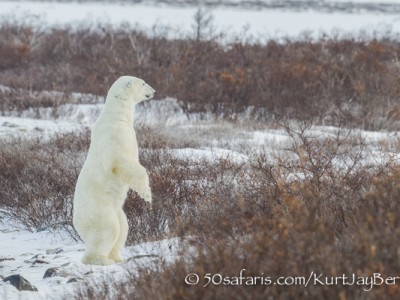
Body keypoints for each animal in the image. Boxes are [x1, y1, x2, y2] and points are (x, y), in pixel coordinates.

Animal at [72, 75, 155, 264]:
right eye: (143, 83)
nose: (154, 91)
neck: (117, 116)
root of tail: (76, 223)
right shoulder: (114, 135)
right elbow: (120, 160)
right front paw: (147, 195)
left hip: (116, 209)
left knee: (123, 227)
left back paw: (118, 258)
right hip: (99, 209)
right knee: (108, 228)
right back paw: (102, 260)